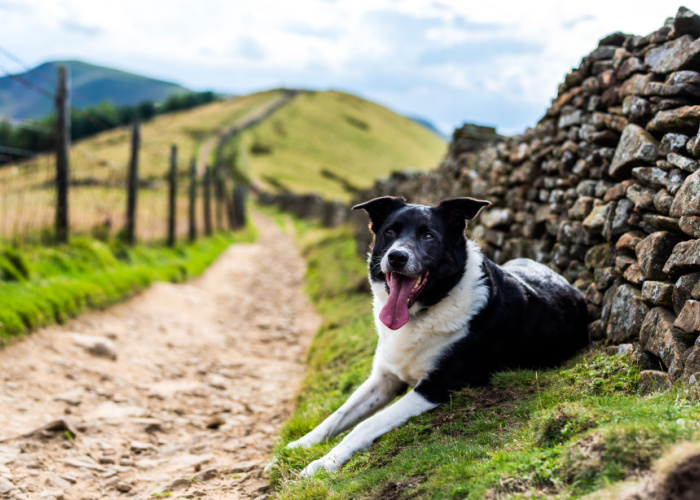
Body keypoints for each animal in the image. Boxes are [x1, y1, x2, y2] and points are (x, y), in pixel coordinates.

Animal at [290, 195, 592, 476]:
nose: (396, 257)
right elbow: (338, 415)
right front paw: (298, 446)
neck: (425, 310)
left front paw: (324, 463)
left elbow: (366, 424)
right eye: (390, 232)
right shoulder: (384, 378)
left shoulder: (435, 386)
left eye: (428, 236)